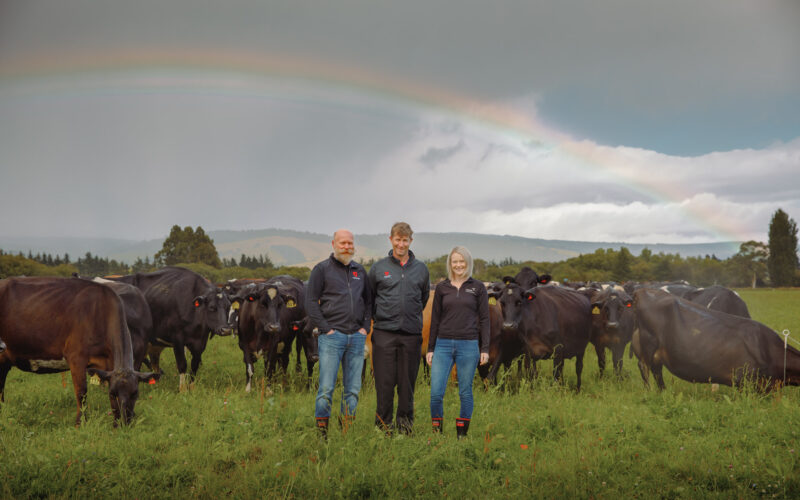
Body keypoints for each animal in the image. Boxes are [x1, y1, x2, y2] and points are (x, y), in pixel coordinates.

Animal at [0, 278, 158, 426]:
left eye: (135, 394)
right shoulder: (76, 357)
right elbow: (81, 392)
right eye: (113, 394)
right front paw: (81, 423)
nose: (124, 423)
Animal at [632, 290, 800, 390]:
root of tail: (642, 291)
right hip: (649, 343)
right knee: (646, 367)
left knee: (653, 368)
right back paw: (652, 391)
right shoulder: (747, 380)